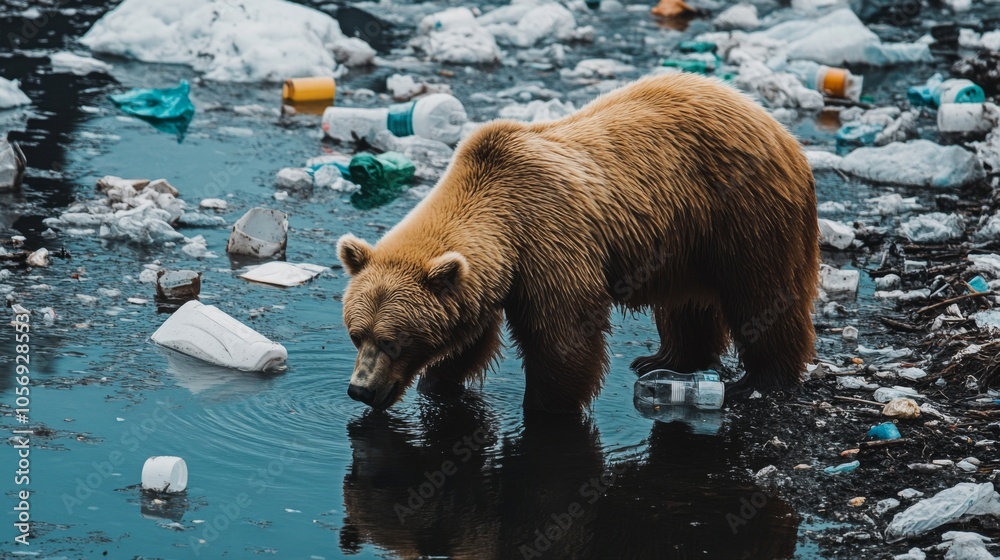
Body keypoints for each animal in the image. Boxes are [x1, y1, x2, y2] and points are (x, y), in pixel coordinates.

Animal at [340, 72, 816, 412]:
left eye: (393, 341)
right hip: (687, 240)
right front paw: (438, 380)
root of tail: (776, 126)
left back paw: (758, 380)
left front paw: (545, 405)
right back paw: (664, 360)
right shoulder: (492, 275)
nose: (360, 390)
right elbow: (473, 335)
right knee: (687, 301)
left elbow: (564, 335)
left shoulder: (549, 240)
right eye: (357, 335)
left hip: (741, 211)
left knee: (761, 294)